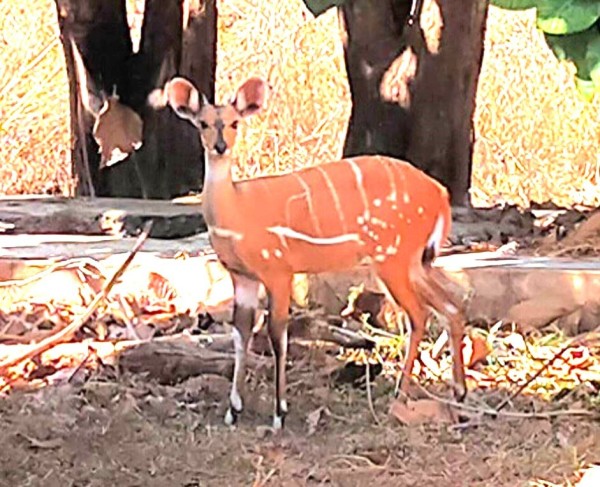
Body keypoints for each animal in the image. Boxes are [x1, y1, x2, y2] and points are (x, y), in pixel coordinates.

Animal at [150, 76, 468, 430]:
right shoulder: (242, 276)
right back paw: (458, 392)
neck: (237, 212)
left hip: (392, 259)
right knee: (451, 306)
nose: (220, 146)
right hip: (412, 261)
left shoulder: (278, 271)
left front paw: (279, 413)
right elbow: (240, 333)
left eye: (234, 123)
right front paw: (233, 411)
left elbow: (277, 334)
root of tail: (440, 193)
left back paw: (400, 394)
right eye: (203, 123)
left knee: (419, 315)